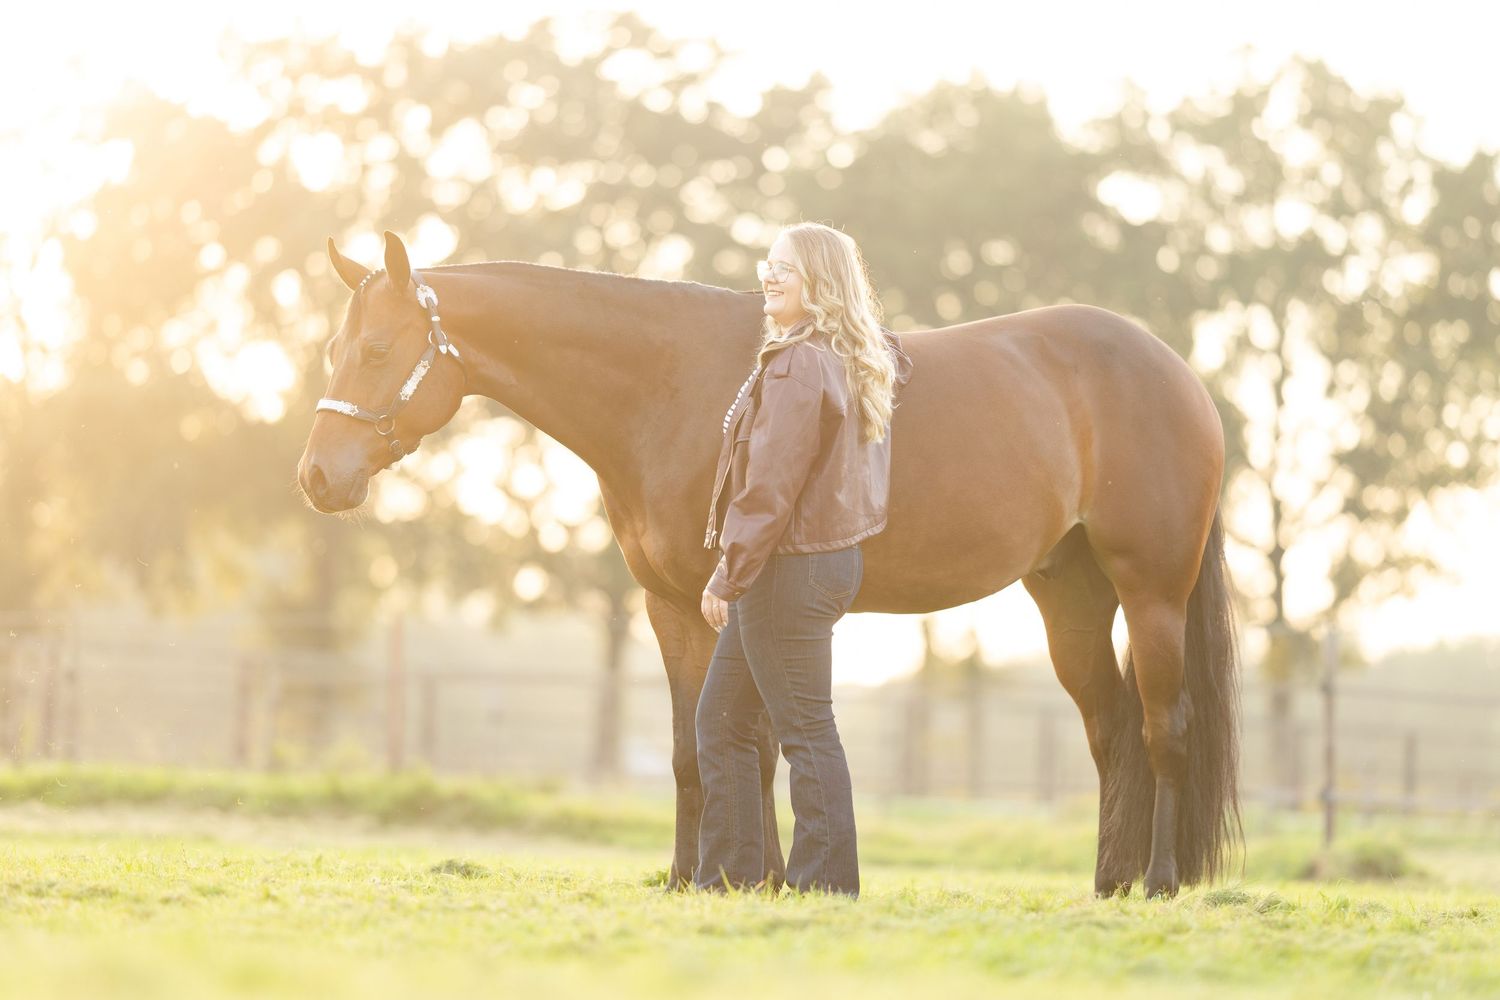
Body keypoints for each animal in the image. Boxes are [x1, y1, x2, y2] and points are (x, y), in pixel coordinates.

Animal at [297, 230, 1240, 898]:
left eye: (377, 351)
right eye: (333, 350)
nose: (316, 477)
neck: (668, 387)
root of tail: (1178, 372)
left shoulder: (732, 598)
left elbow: (750, 747)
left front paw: (757, 878)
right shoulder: (673, 606)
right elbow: (694, 747)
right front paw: (694, 876)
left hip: (1151, 591)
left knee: (1164, 727)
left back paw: (1159, 882)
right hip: (1070, 599)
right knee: (1109, 727)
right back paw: (1110, 882)